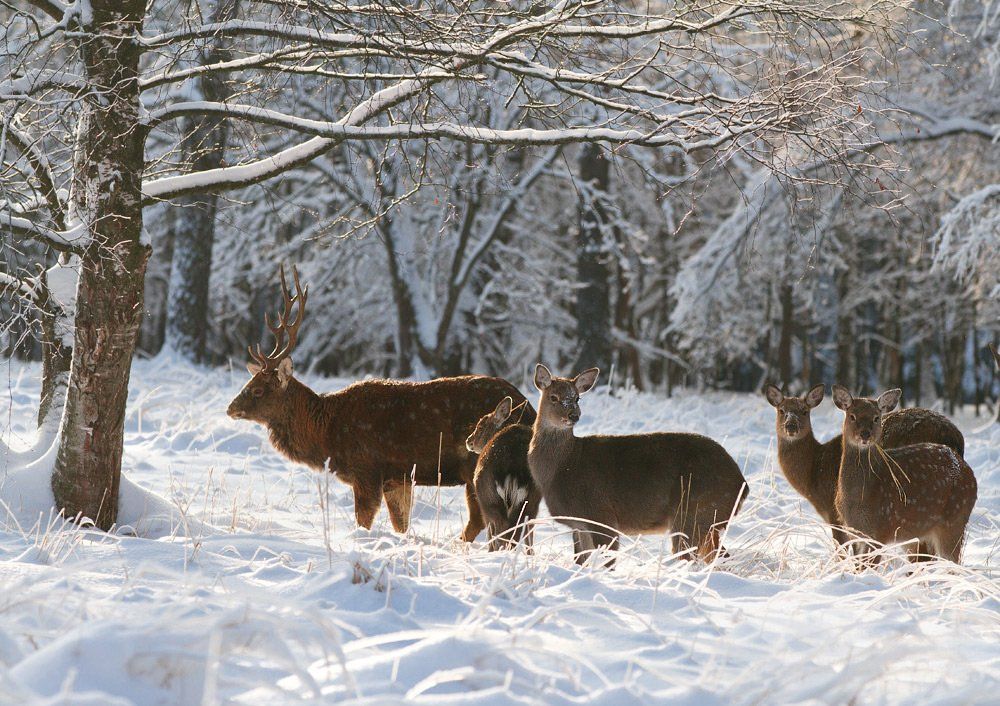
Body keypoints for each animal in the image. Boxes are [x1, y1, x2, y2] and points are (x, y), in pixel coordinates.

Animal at [226, 266, 536, 540]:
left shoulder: (366, 471)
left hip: (476, 467)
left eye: (258, 390)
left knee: (481, 521)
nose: (230, 408)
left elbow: (363, 521)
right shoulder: (397, 478)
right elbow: (402, 524)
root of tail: (530, 409)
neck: (327, 434)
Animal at [466, 396, 544, 552]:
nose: (469, 441)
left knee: (502, 532)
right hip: (531, 500)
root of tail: (512, 468)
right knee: (523, 530)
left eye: (480, 426)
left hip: (489, 499)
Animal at [528, 366, 748, 564]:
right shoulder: (580, 525)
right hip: (707, 519)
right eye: (553, 397)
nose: (574, 415)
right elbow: (581, 561)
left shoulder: (601, 515)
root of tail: (742, 484)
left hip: (694, 512)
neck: (564, 466)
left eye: (576, 398)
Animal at [760, 382, 964, 548]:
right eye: (781, 410)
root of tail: (953, 435)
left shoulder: (835, 513)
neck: (815, 473)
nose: (791, 426)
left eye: (804, 411)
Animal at [828, 384, 976, 560]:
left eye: (876, 417)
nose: (865, 434)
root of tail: (970, 473)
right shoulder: (853, 531)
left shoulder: (881, 529)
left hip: (954, 521)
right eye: (852, 416)